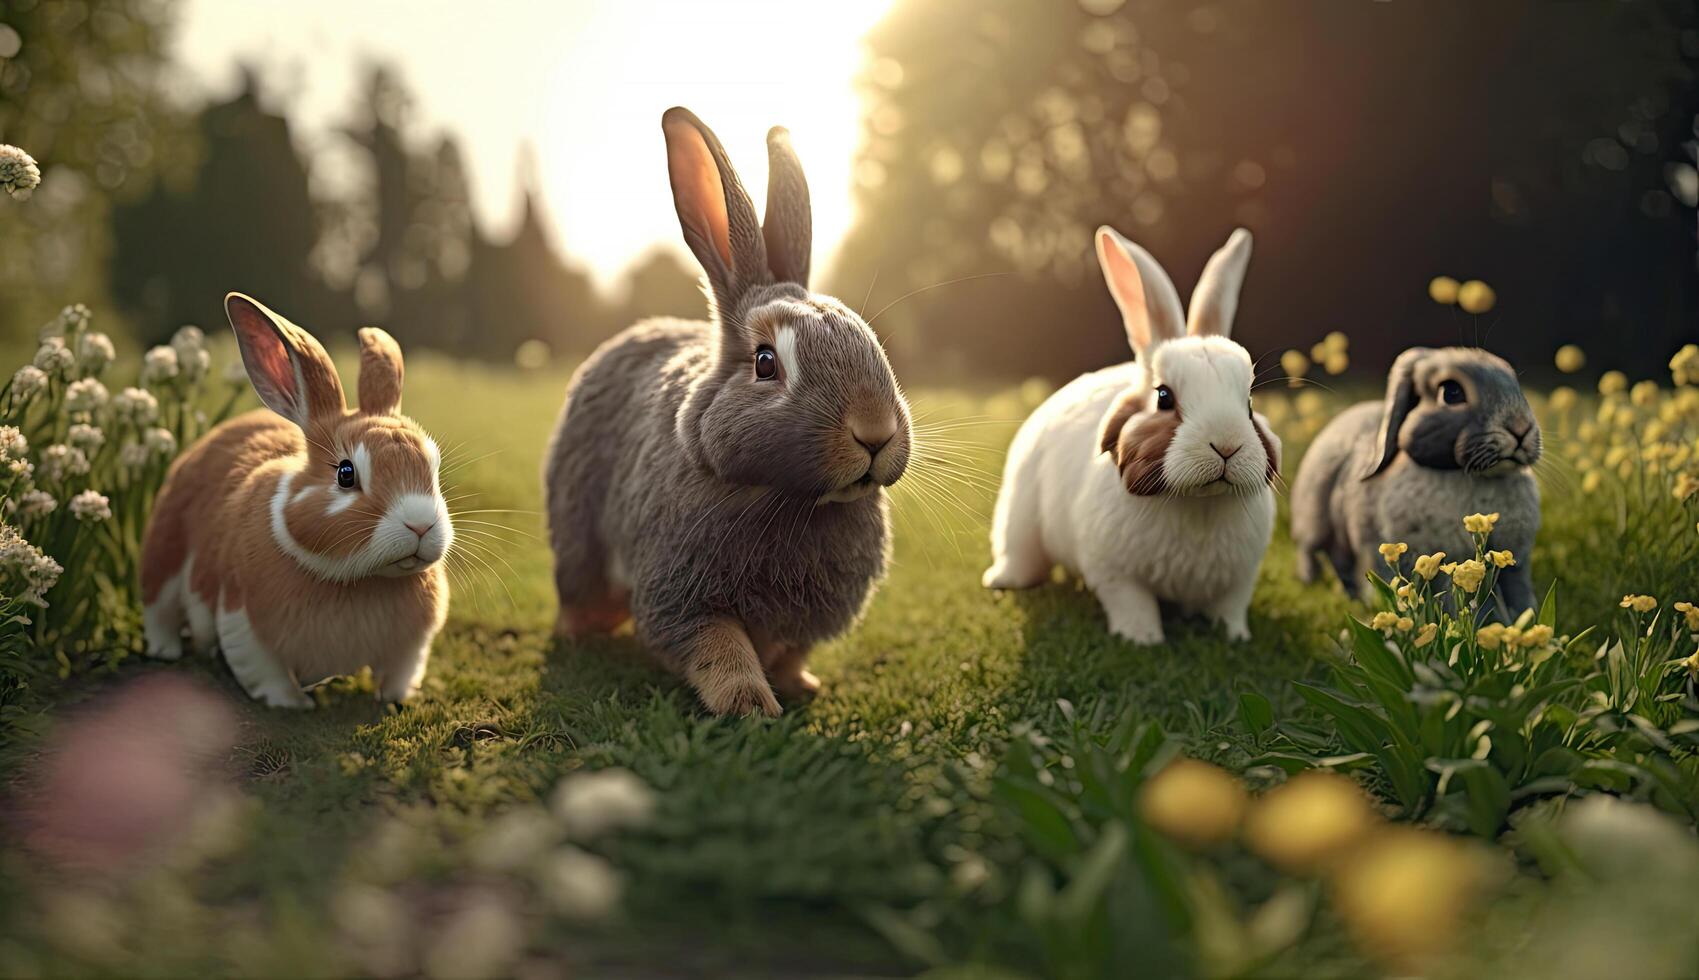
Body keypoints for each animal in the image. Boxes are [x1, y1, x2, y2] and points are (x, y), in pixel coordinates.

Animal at [140, 293, 455, 706]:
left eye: (433, 466)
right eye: (345, 474)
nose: (420, 525)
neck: (363, 580)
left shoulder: (412, 646)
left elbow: (400, 673)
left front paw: (394, 699)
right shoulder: (243, 622)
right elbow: (268, 673)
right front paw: (294, 705)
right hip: (165, 548)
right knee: (158, 609)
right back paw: (166, 651)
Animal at [547, 108, 917, 720]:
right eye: (766, 363)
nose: (875, 432)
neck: (791, 499)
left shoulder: (805, 624)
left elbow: (789, 652)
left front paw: (800, 685)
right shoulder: (685, 597)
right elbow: (719, 650)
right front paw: (750, 706)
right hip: (577, 535)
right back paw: (578, 635)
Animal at [978, 225, 1277, 645]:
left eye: (1249, 404)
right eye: (1164, 397)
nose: (1226, 445)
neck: (1197, 502)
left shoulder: (1239, 581)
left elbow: (1229, 609)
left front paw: (1235, 637)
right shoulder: (1115, 573)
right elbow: (1133, 605)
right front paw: (1143, 639)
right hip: (1020, 514)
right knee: (1019, 553)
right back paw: (1002, 580)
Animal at [1291, 348, 1549, 614]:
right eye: (1451, 392)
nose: (1521, 428)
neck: (1469, 475)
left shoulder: (1514, 565)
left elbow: (1518, 594)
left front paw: (1526, 619)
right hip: (1315, 520)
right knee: (1311, 551)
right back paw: (1313, 582)